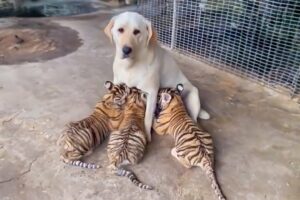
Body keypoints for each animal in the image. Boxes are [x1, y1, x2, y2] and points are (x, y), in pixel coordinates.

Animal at [104, 11, 210, 142]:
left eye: (136, 31)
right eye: (120, 30)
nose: (126, 50)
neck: (130, 65)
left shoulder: (152, 93)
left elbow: (147, 119)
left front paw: (147, 136)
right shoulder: (118, 84)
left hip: (193, 98)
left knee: (194, 119)